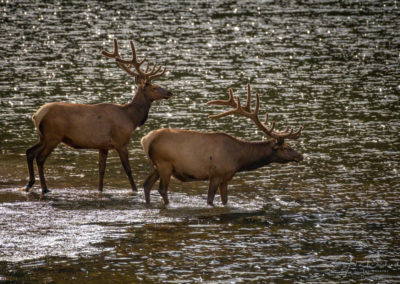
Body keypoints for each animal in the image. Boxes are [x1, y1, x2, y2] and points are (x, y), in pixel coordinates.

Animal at [23, 38, 172, 195]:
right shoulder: (120, 141)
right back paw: (44, 188)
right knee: (40, 158)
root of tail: (36, 115)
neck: (131, 119)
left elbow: (101, 170)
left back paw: (29, 184)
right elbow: (128, 169)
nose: (170, 92)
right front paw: (135, 190)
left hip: (44, 136)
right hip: (53, 136)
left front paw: (100, 190)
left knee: (29, 152)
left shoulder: (103, 146)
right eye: (154, 87)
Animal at [141, 83, 304, 205]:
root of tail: (146, 139)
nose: (300, 156)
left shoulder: (226, 178)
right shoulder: (216, 174)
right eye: (286, 147)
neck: (239, 159)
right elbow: (210, 199)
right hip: (164, 164)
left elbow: (225, 200)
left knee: (146, 185)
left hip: (155, 165)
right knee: (162, 189)